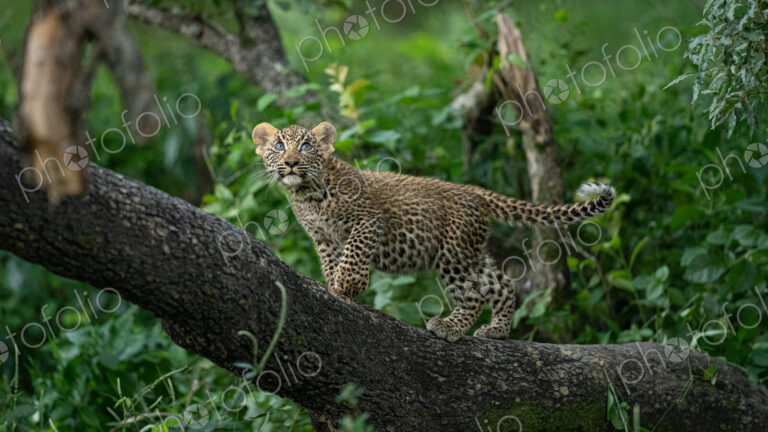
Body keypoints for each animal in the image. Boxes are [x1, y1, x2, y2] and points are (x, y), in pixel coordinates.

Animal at [252, 121, 616, 342]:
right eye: (279, 146)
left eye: (306, 146)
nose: (291, 163)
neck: (308, 194)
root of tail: (475, 191)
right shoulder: (324, 238)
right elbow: (332, 261)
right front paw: (334, 287)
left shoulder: (368, 221)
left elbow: (354, 252)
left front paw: (348, 284)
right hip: (470, 251)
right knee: (501, 284)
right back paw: (496, 330)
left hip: (452, 253)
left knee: (473, 296)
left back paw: (448, 327)